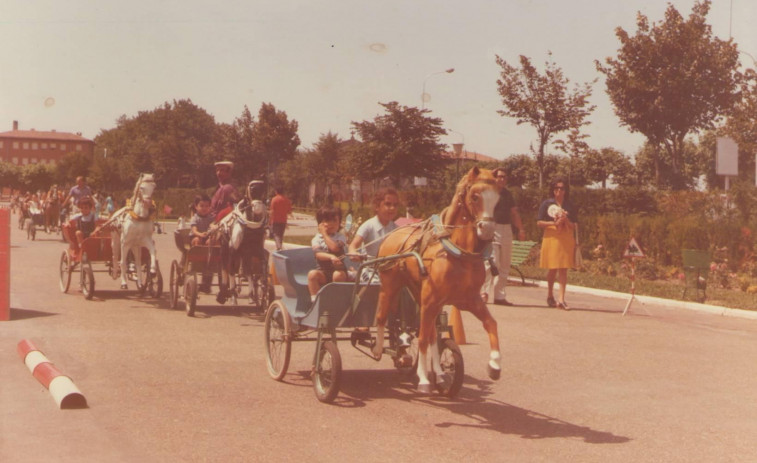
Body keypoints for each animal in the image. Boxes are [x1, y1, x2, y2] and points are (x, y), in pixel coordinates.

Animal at [374, 169, 502, 394]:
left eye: (497, 197)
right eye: (475, 196)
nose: (486, 229)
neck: (458, 254)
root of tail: (392, 234)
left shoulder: (468, 300)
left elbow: (490, 324)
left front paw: (494, 365)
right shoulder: (431, 300)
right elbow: (423, 338)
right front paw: (424, 379)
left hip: (419, 293)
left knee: (433, 333)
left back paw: (441, 375)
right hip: (391, 286)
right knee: (382, 317)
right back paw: (379, 349)